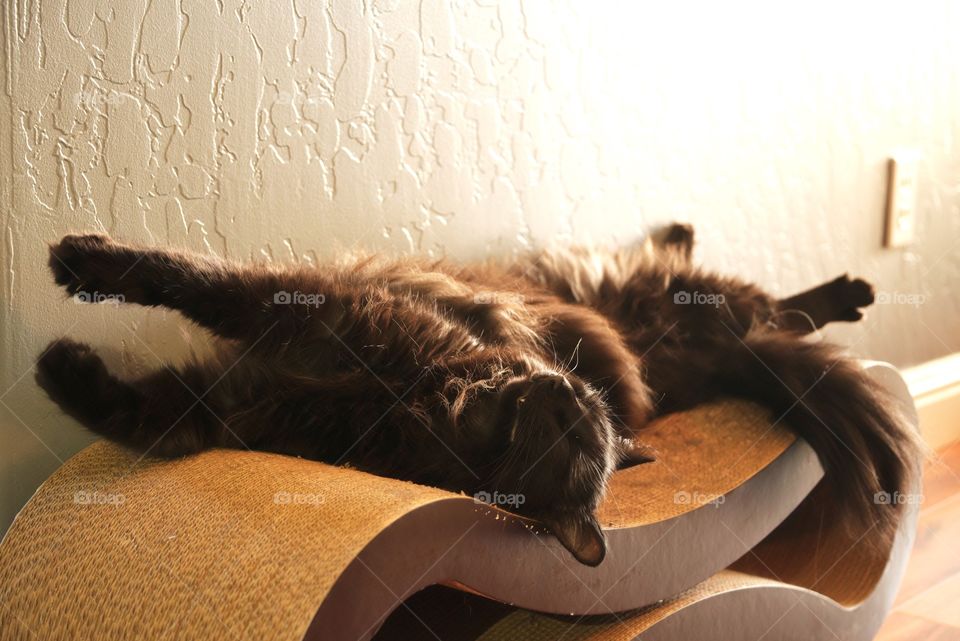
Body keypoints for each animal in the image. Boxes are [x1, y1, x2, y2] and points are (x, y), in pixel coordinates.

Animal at [35, 225, 916, 564]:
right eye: (573, 414)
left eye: (559, 440)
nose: (557, 388)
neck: (407, 392)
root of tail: (706, 363)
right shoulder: (293, 327)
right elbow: (180, 282)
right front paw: (75, 293)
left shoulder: (236, 395)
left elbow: (147, 401)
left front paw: (56, 354)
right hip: (682, 294)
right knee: (767, 300)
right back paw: (837, 285)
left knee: (771, 309)